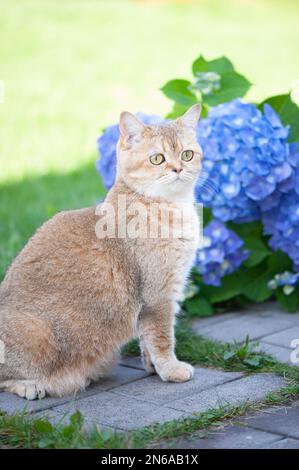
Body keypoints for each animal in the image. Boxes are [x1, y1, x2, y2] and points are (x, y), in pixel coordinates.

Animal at [0, 103, 203, 400]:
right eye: (157, 159)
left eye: (187, 155)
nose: (178, 169)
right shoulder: (158, 296)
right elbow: (162, 337)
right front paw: (171, 369)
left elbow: (147, 340)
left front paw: (152, 367)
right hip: (38, 335)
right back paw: (30, 386)